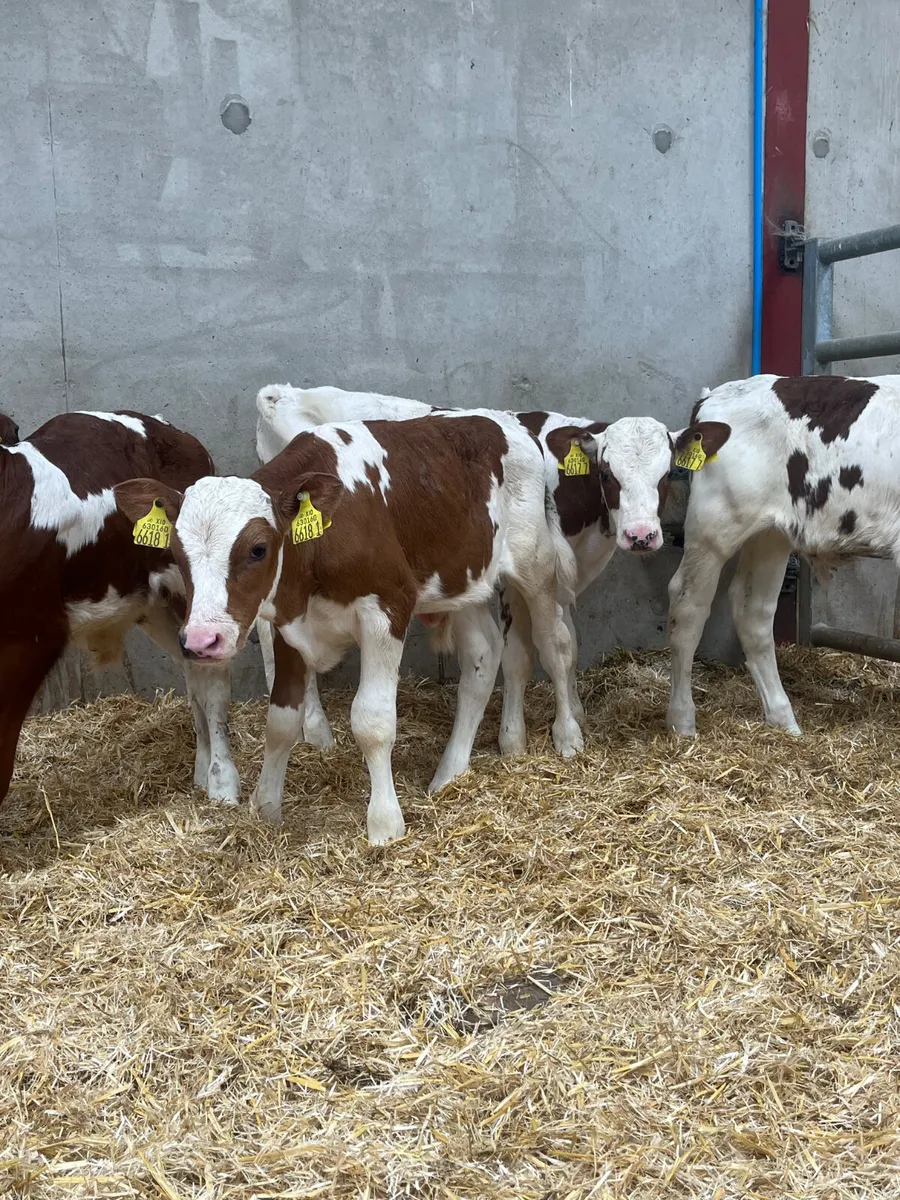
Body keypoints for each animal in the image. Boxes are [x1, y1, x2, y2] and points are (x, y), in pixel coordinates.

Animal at [0, 410, 240, 807]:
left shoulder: (30, 638)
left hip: (194, 590)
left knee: (213, 681)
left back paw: (222, 783)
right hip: (151, 604)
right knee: (192, 672)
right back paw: (202, 771)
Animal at [114, 411, 582, 844]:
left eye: (258, 549)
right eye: (176, 551)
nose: (201, 640)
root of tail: (509, 423)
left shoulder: (388, 607)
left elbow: (372, 721)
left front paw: (385, 825)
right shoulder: (288, 625)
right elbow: (280, 722)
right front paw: (266, 810)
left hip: (536, 566)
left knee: (554, 644)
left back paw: (568, 736)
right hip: (461, 580)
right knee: (483, 656)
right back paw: (451, 773)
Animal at [254, 384, 714, 753]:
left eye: (668, 474)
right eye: (606, 473)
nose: (641, 535)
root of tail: (283, 394)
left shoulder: (562, 575)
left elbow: (568, 641)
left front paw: (575, 712)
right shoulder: (518, 572)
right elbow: (522, 653)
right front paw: (517, 738)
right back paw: (315, 729)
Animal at [664, 373, 900, 738]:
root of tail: (713, 396)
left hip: (771, 534)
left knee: (753, 611)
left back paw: (782, 718)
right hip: (715, 526)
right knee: (688, 607)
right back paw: (682, 721)